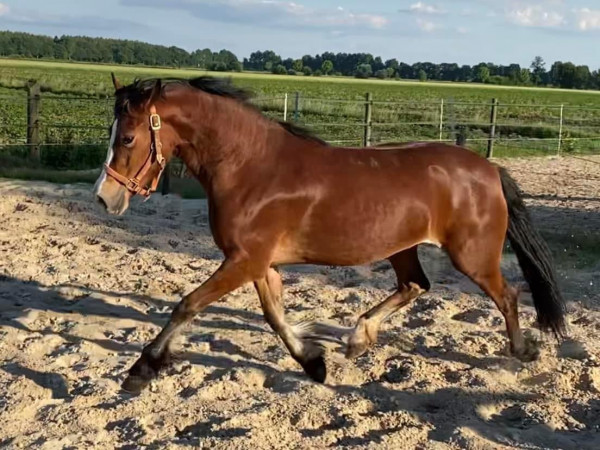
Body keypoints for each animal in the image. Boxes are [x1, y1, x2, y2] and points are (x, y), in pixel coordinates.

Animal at [95, 74, 568, 394]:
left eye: (129, 137)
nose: (104, 198)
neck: (251, 167)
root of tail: (489, 169)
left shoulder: (244, 259)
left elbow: (187, 305)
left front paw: (140, 371)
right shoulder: (258, 262)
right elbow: (275, 315)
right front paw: (313, 364)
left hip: (472, 255)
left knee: (507, 295)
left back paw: (523, 352)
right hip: (403, 247)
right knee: (415, 285)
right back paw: (358, 338)